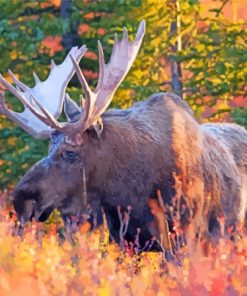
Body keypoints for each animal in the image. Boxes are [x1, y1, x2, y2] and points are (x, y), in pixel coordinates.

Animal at [0, 19, 247, 258]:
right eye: (49, 148)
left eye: (70, 152)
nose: (21, 200)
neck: (129, 188)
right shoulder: (122, 236)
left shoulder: (185, 231)